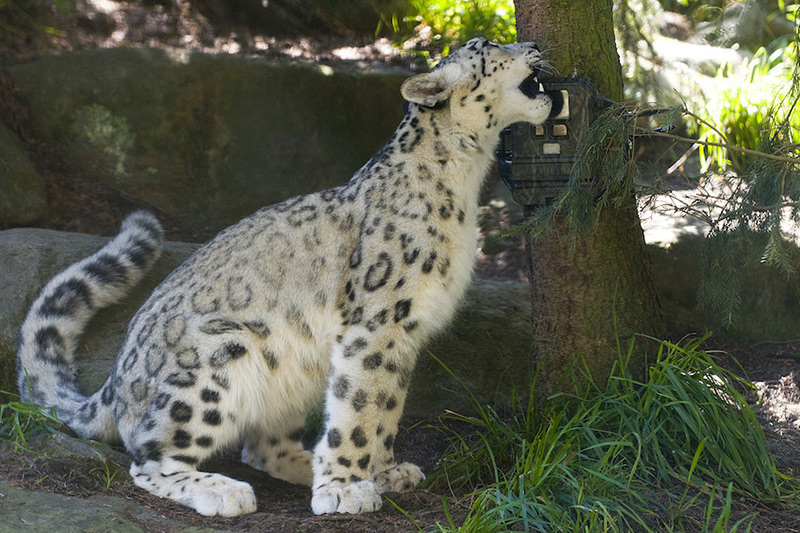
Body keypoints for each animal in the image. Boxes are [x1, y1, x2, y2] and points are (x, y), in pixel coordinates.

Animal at [16, 37, 554, 517]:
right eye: (491, 46)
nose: (535, 44)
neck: (465, 186)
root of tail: (114, 382)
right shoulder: (377, 324)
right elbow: (359, 408)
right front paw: (345, 490)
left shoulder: (406, 333)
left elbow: (386, 407)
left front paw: (383, 472)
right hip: (214, 359)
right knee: (151, 458)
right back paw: (224, 491)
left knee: (262, 448)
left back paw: (306, 461)